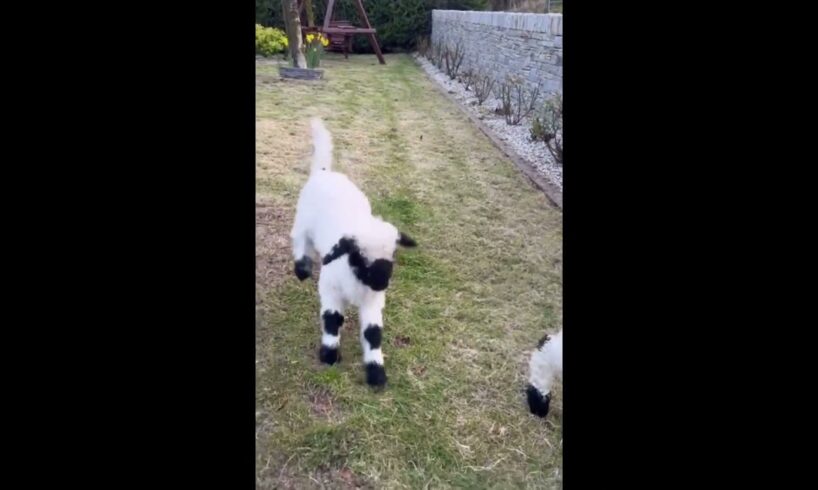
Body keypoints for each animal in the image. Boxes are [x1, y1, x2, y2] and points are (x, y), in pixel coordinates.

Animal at [288, 117, 414, 386]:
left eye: (393, 256)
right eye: (358, 255)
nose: (381, 283)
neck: (357, 283)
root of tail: (324, 172)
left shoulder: (374, 302)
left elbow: (373, 334)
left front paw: (376, 373)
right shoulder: (331, 290)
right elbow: (332, 319)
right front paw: (329, 355)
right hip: (303, 219)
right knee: (300, 240)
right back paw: (302, 268)